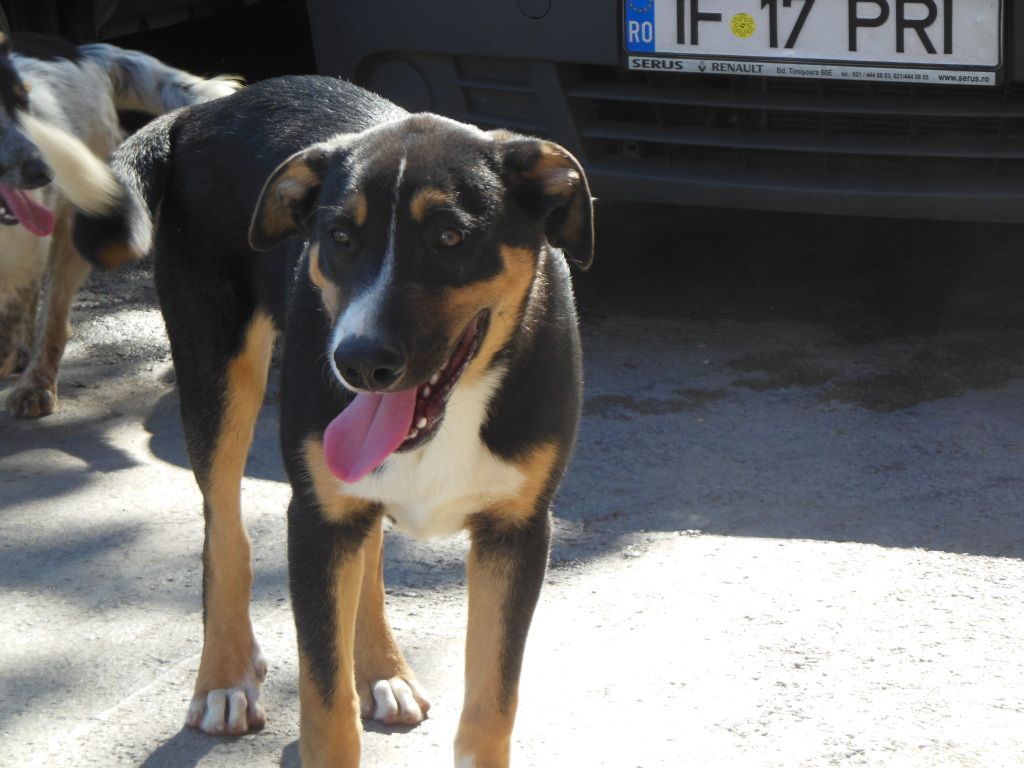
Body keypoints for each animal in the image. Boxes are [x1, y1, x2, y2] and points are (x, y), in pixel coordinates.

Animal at [61, 75, 593, 765]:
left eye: (450, 237)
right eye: (339, 237)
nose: (358, 362)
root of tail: (203, 111)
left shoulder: (519, 530)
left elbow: (490, 706)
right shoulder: (313, 521)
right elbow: (324, 701)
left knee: (363, 551)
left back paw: (383, 670)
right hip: (217, 372)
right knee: (225, 533)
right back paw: (225, 677)